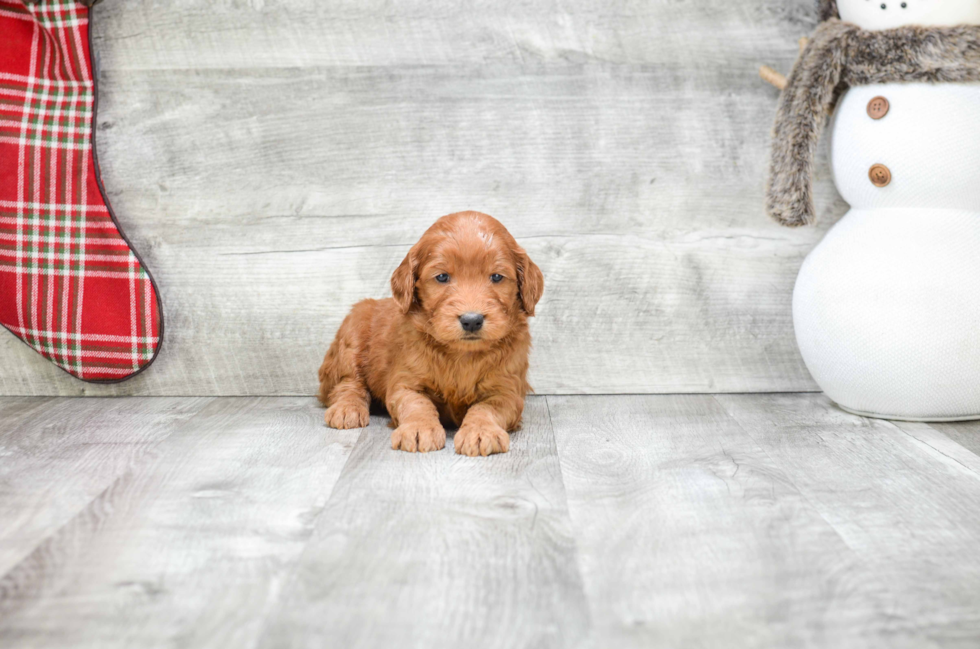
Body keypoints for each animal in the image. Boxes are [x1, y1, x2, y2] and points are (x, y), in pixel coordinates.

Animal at [318, 211, 544, 456]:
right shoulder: (405, 382)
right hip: (352, 334)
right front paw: (419, 429)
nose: (471, 320)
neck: (461, 355)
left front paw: (481, 431)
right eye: (442, 277)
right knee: (348, 382)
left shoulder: (507, 390)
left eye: (496, 277)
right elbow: (417, 404)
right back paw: (346, 409)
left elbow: (487, 408)